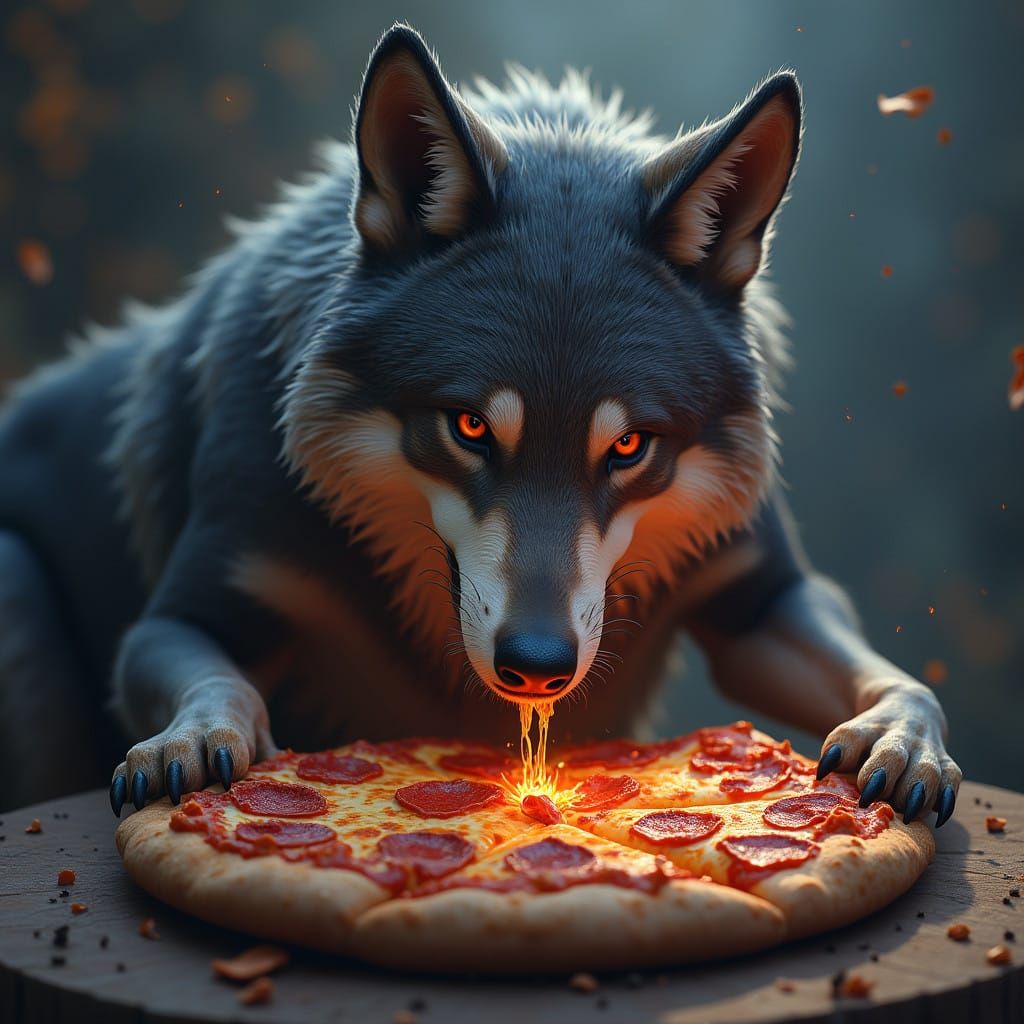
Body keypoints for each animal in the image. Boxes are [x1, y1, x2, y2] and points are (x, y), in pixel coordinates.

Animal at [0, 24, 959, 826]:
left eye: (628, 447)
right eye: (468, 427)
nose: (537, 664)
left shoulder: (765, 599)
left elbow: (899, 680)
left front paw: (901, 741)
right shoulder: (183, 616)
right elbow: (219, 686)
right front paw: (195, 742)